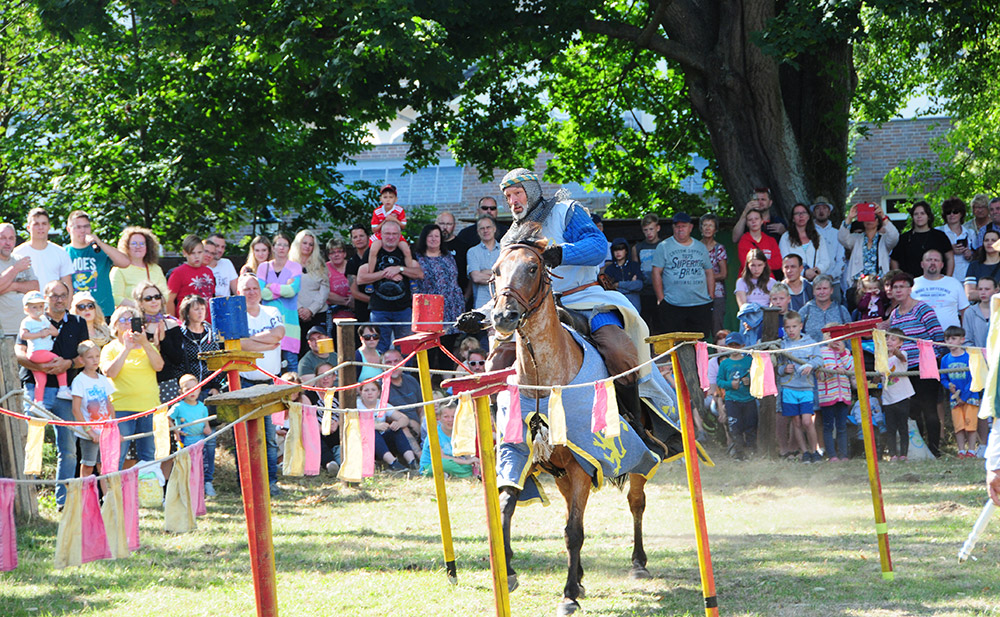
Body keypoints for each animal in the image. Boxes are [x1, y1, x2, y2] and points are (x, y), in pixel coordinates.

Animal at [488, 227, 660, 616]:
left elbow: (574, 531)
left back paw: (638, 562)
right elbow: (506, 508)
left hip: (634, 457)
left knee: (635, 502)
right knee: (572, 509)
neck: (544, 379)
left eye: (533, 267)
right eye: (496, 271)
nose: (504, 316)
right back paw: (580, 576)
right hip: (562, 473)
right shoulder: (520, 455)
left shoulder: (585, 462)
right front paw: (510, 573)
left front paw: (567, 594)